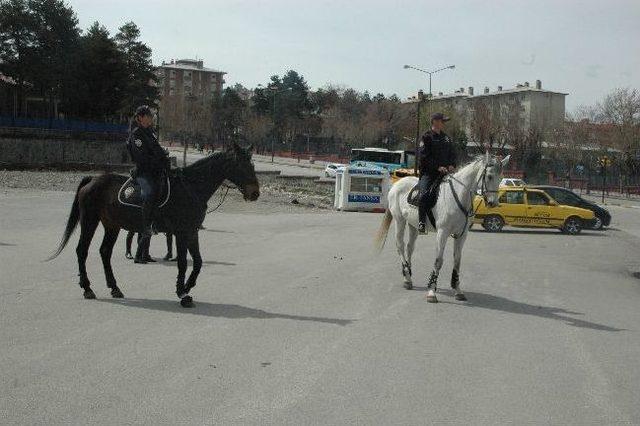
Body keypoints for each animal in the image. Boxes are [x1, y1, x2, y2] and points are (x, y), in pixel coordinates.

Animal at [47, 145, 262, 308]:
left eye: (252, 164)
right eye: (241, 165)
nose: (255, 193)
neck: (191, 187)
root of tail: (93, 179)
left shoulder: (192, 231)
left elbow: (198, 262)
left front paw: (188, 286)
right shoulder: (181, 232)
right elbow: (183, 262)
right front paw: (182, 293)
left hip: (112, 225)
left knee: (105, 252)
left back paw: (115, 288)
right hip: (90, 221)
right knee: (82, 250)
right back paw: (87, 288)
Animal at [376, 153, 510, 302]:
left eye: (501, 178)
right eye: (490, 176)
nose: (493, 203)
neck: (458, 196)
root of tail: (396, 184)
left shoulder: (461, 235)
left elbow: (457, 261)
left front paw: (457, 290)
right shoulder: (442, 233)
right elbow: (438, 261)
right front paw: (431, 291)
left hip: (413, 225)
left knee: (410, 248)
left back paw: (408, 276)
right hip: (400, 221)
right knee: (400, 245)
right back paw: (407, 278)